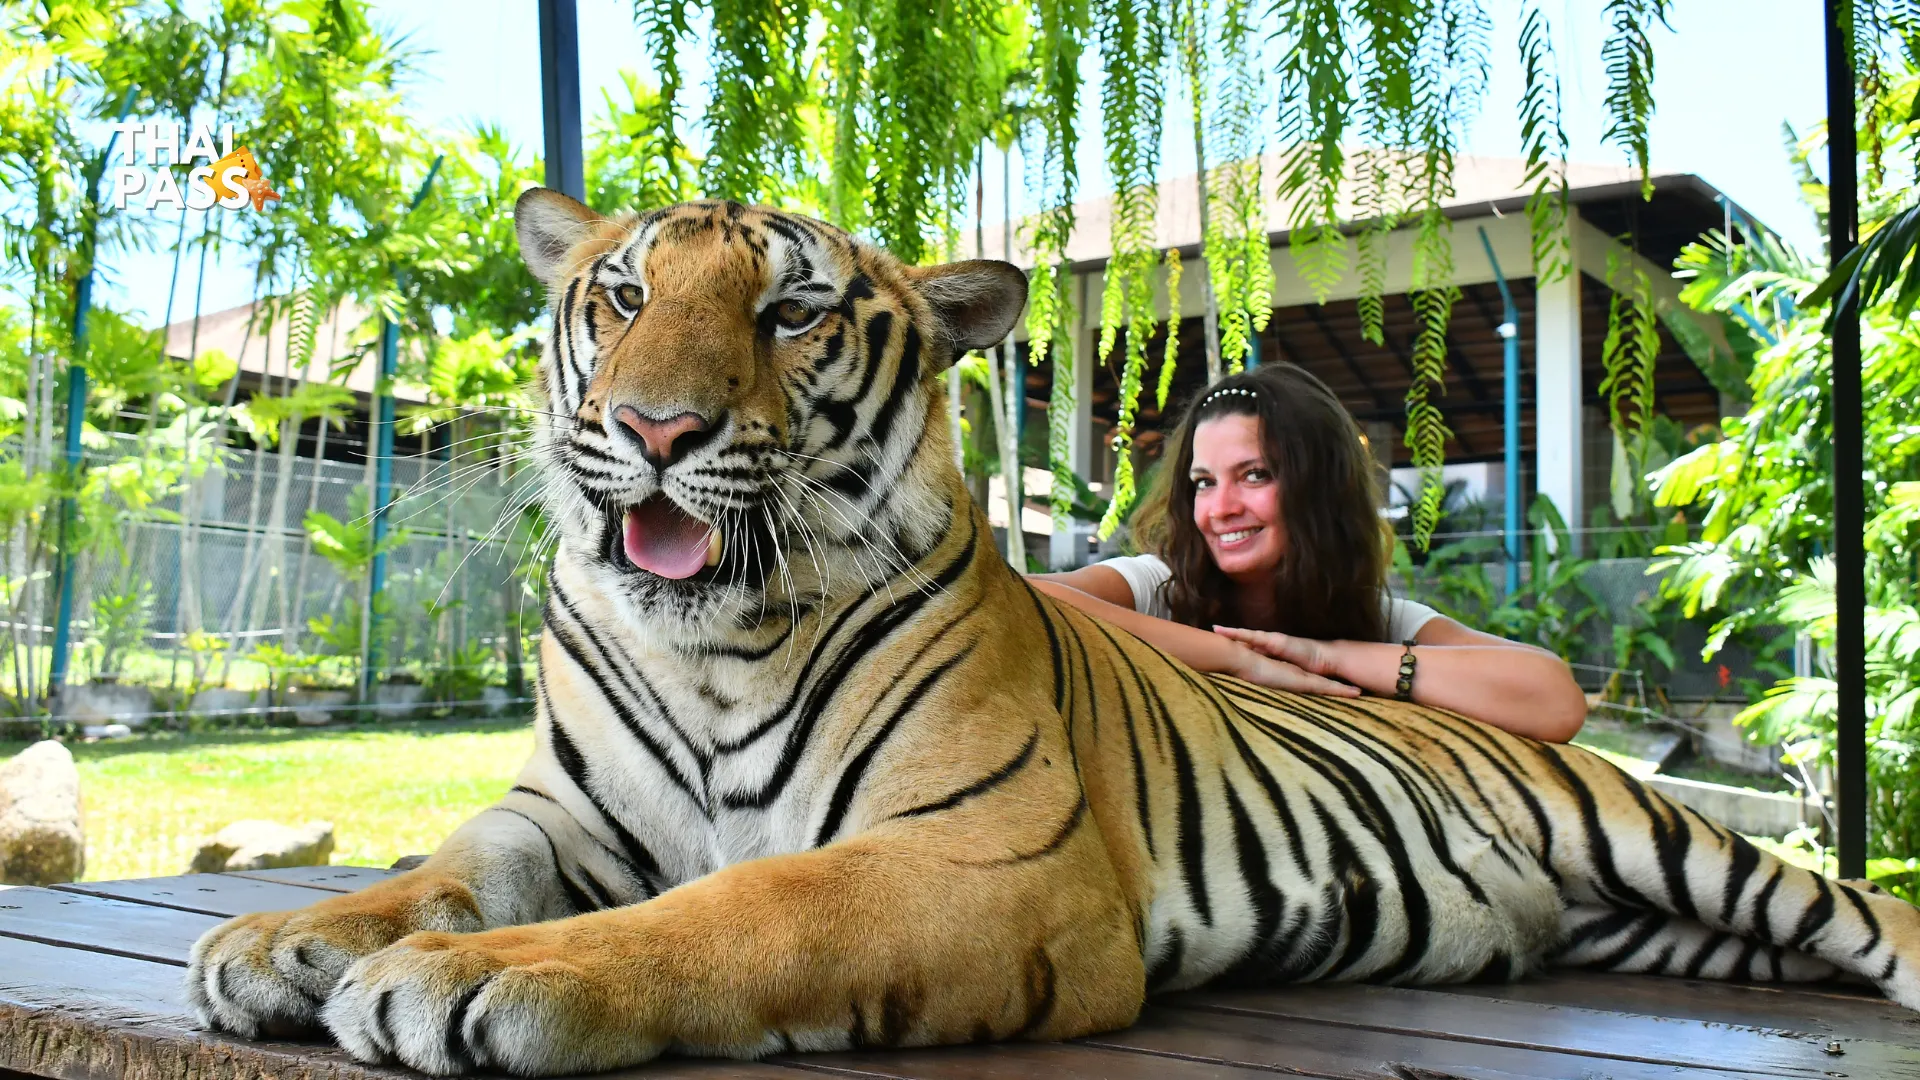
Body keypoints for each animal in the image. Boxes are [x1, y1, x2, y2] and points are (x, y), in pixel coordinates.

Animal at [185, 188, 1920, 1077]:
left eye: (790, 313)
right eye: (619, 299)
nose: (656, 429)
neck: (709, 641)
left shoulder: (983, 853)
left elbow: (736, 909)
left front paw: (474, 977)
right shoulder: (562, 812)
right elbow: (443, 865)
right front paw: (289, 937)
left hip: (1673, 843)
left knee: (1854, 912)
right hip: (1653, 924)